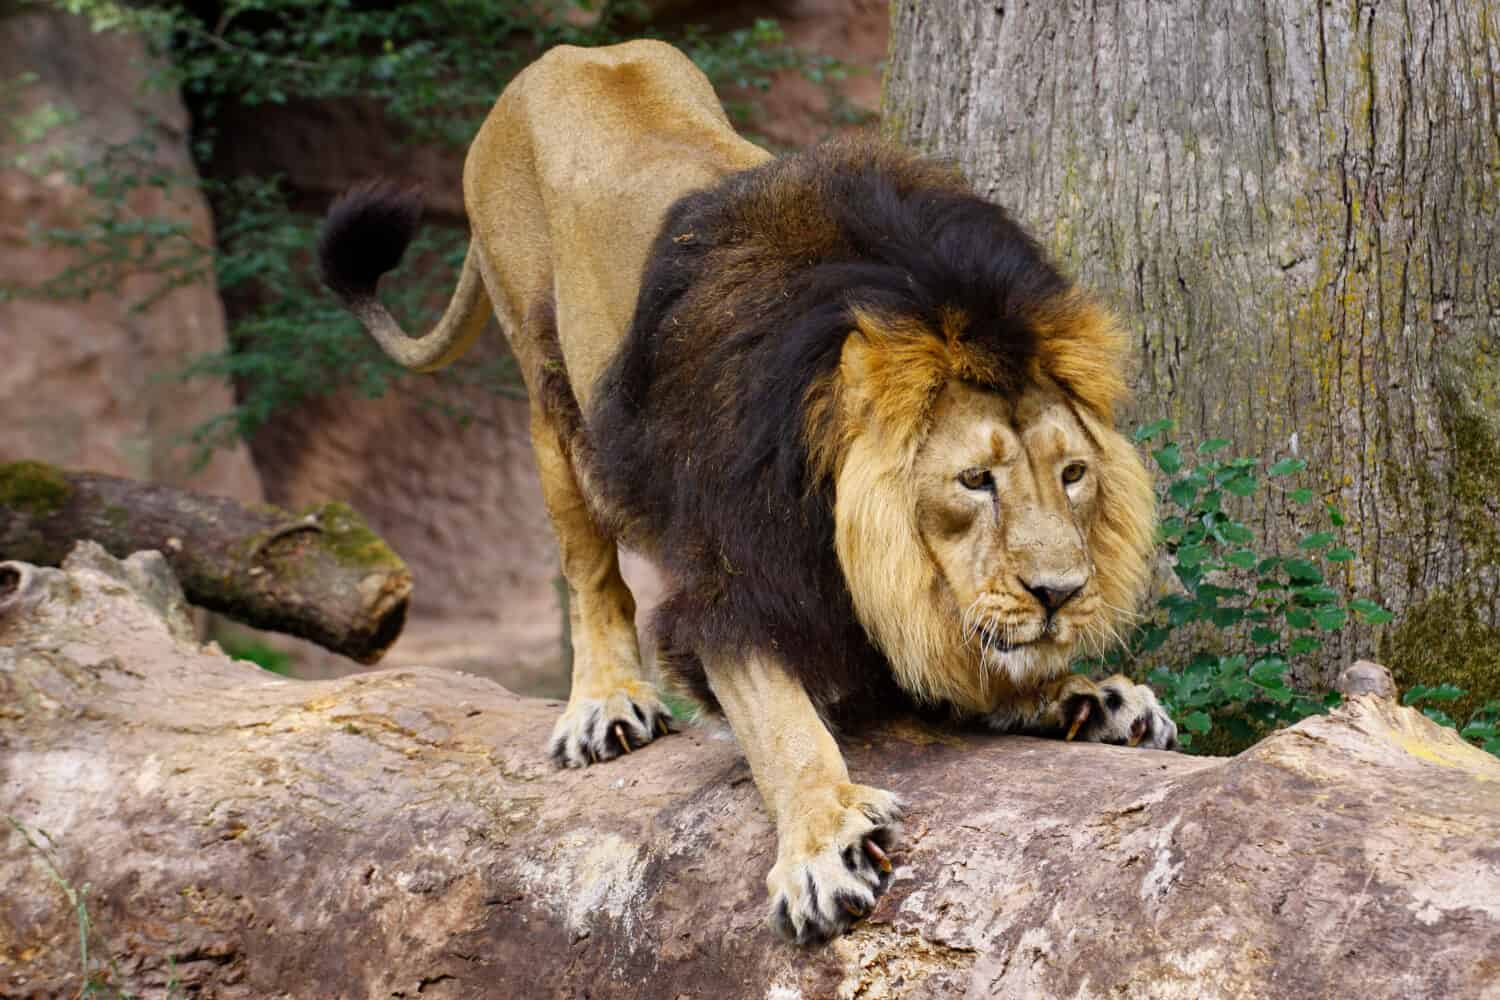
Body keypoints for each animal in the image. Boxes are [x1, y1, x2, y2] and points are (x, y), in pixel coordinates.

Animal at [322, 39, 1176, 947]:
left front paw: (1085, 695)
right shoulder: (729, 584)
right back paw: (605, 703)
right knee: (588, 567)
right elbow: (783, 726)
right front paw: (824, 841)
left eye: (1073, 474)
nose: (1062, 593)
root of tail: (568, 54)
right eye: (975, 481)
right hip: (546, 387)